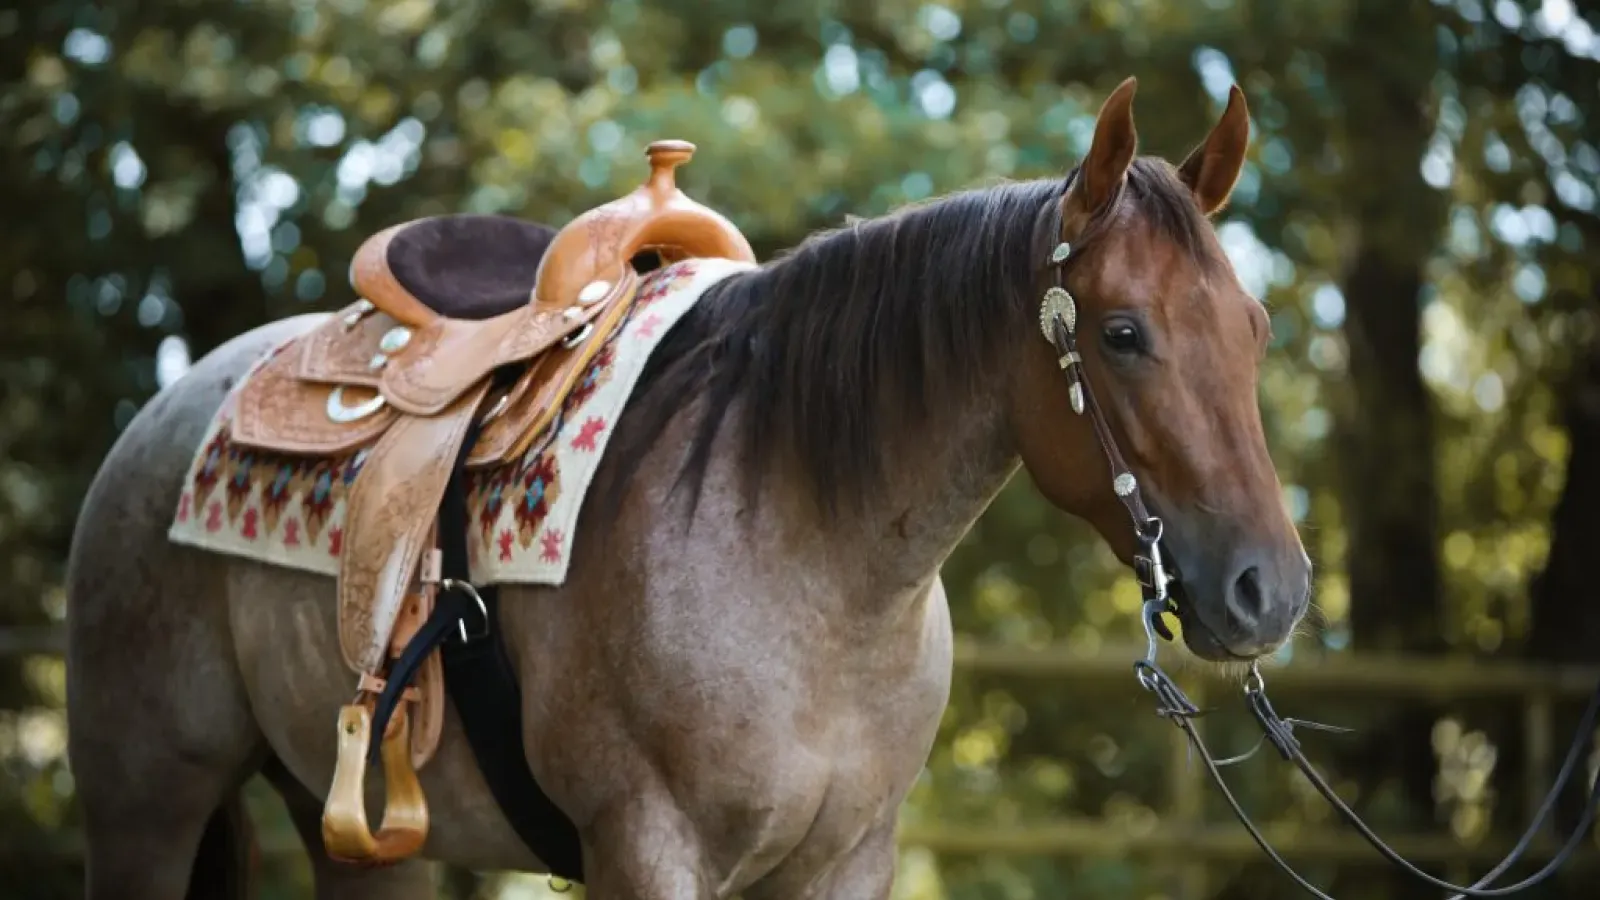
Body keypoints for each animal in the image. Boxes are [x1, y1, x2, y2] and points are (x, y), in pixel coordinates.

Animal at [64, 76, 1309, 899]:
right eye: (1122, 333)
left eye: (1255, 329)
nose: (1273, 591)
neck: (813, 566)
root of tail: (172, 410)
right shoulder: (647, 849)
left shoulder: (846, 862)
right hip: (142, 803)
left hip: (360, 842)